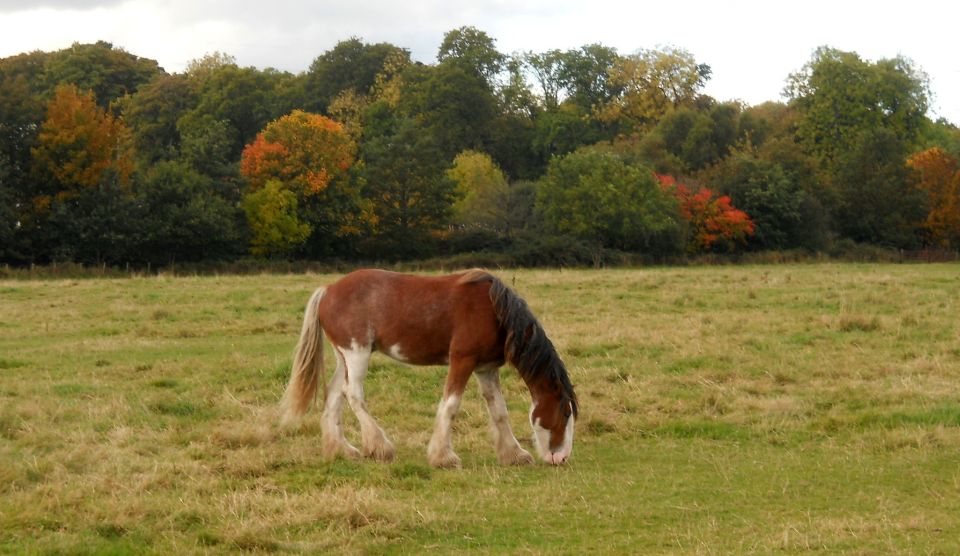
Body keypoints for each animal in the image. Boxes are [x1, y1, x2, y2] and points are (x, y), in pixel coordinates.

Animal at [278, 268, 576, 466]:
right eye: (564, 413)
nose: (561, 457)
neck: (494, 311)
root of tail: (328, 290)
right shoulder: (462, 360)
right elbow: (451, 406)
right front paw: (443, 457)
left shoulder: (486, 368)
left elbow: (499, 411)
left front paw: (514, 454)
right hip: (357, 354)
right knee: (353, 395)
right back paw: (381, 447)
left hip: (344, 357)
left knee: (334, 397)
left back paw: (342, 450)